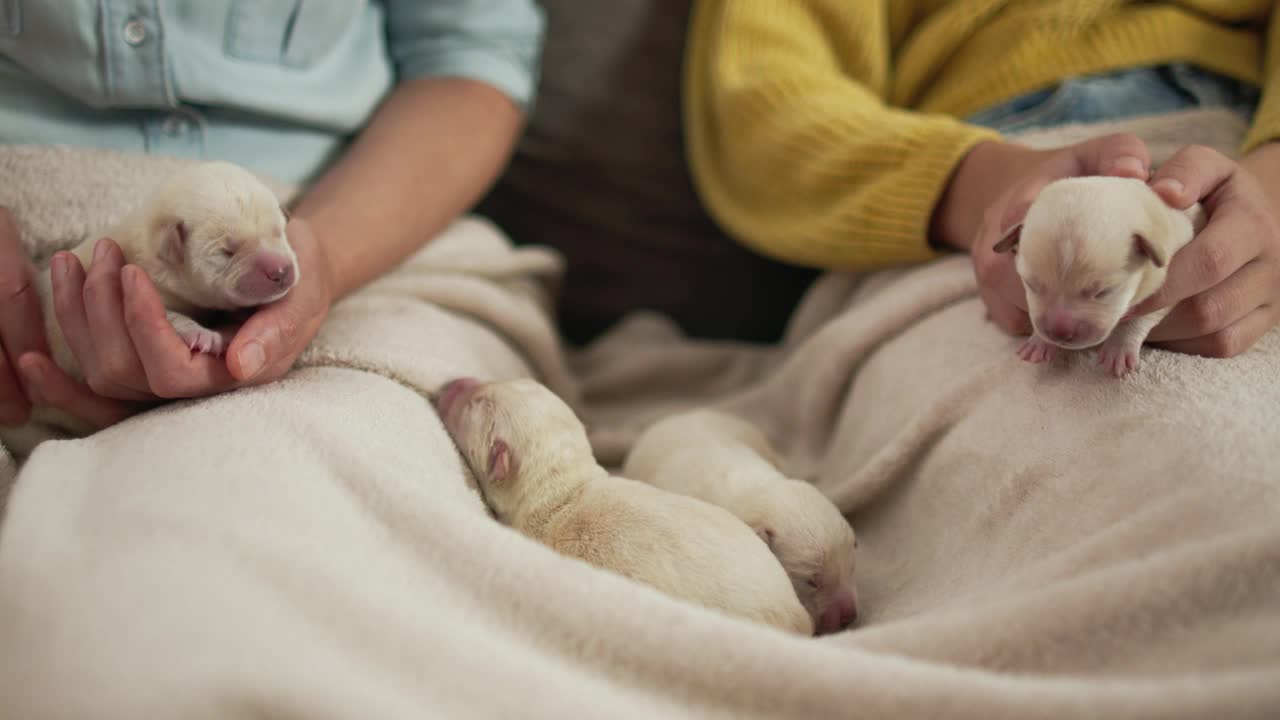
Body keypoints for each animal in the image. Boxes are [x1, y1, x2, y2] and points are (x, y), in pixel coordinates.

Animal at [993, 176, 1203, 376]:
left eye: (1103, 292)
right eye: (1030, 284)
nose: (1059, 333)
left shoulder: (1168, 268)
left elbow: (1143, 313)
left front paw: (1119, 348)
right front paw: (1039, 341)